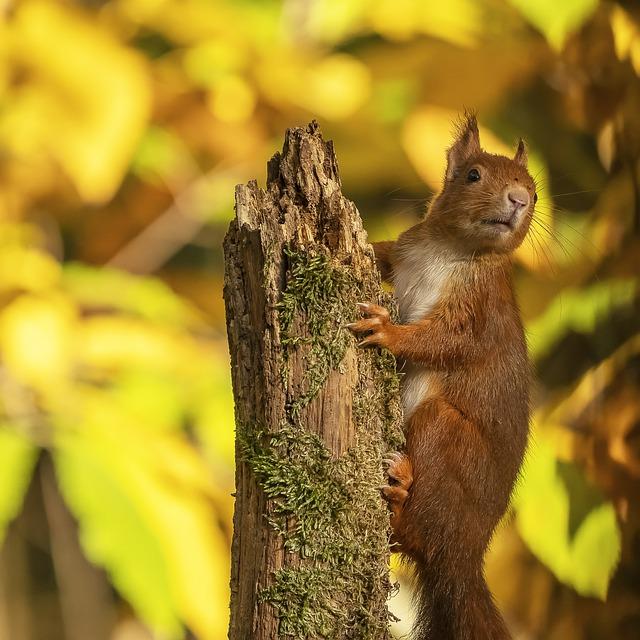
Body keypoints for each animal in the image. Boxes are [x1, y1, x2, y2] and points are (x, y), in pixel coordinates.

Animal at [348, 116, 532, 640]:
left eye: (533, 188)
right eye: (472, 175)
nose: (520, 199)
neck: (448, 250)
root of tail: (464, 558)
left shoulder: (478, 313)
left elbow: (442, 342)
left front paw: (388, 331)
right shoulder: (406, 251)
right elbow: (384, 254)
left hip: (443, 431)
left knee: (416, 536)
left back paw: (401, 494)